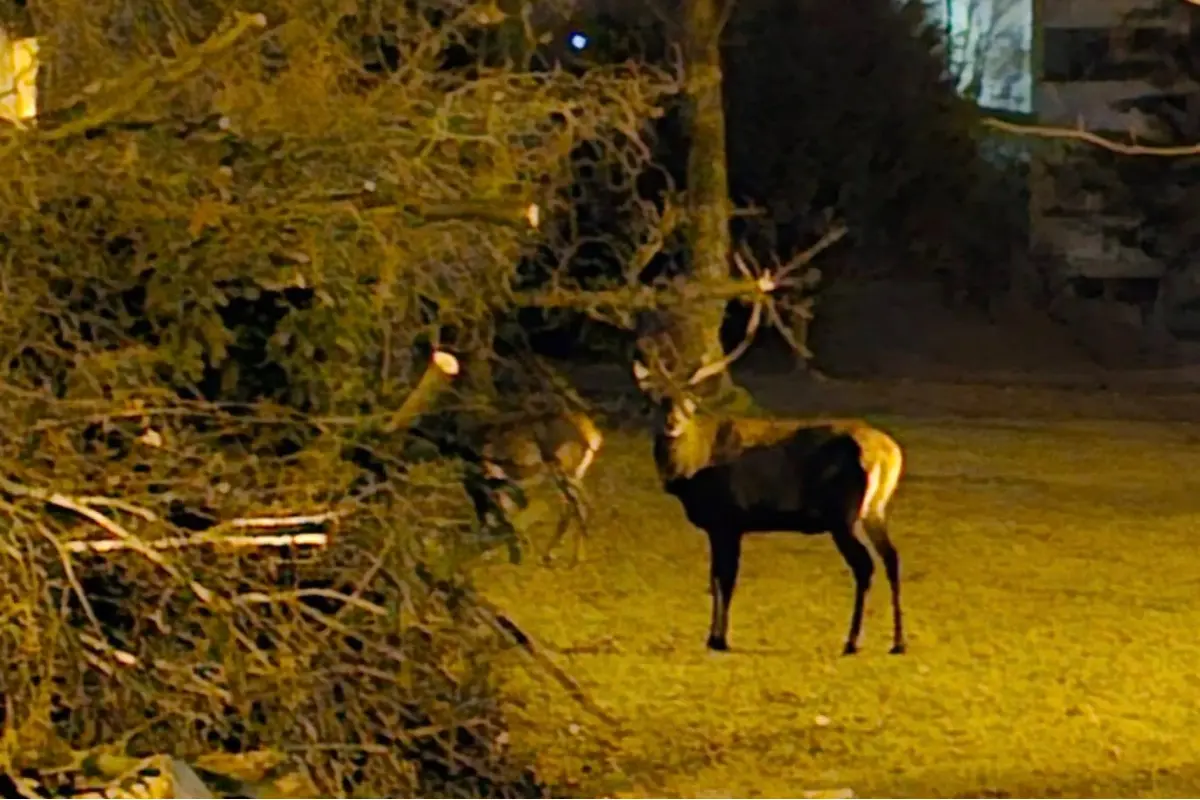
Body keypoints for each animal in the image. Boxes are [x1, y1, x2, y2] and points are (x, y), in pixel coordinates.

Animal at [633, 245, 902, 657]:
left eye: (690, 402)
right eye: (658, 400)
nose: (672, 423)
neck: (690, 474)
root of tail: (888, 454)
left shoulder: (728, 517)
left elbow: (725, 579)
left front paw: (719, 639)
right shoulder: (722, 524)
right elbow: (716, 578)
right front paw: (712, 636)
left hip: (841, 511)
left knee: (865, 565)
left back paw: (852, 640)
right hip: (875, 509)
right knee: (892, 558)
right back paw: (898, 642)